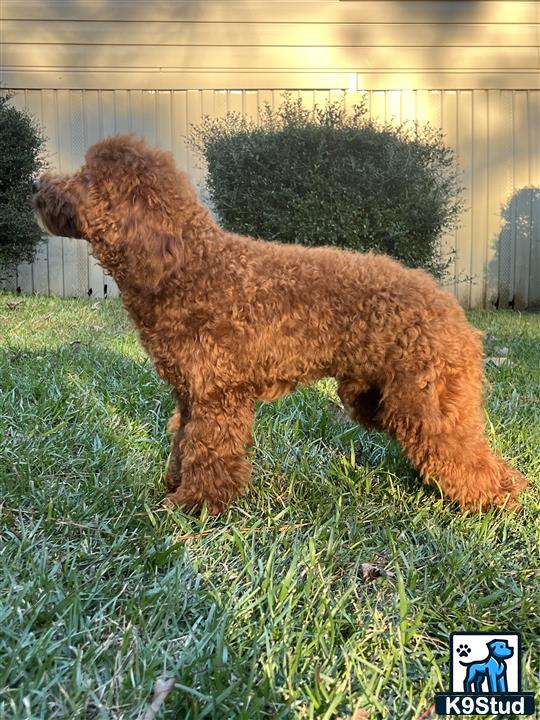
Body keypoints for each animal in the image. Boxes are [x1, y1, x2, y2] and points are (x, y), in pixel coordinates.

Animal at [32, 135, 524, 516]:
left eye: (87, 178)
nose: (37, 185)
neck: (187, 269)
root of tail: (451, 307)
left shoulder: (218, 396)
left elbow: (207, 453)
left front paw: (194, 506)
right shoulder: (189, 396)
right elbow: (182, 443)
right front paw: (174, 487)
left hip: (424, 399)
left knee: (469, 458)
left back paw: (497, 502)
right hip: (379, 398)